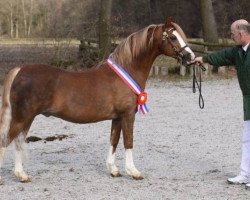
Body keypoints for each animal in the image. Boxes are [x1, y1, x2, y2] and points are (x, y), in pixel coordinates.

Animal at [0, 18, 194, 184]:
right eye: (172, 37)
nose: (190, 57)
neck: (127, 70)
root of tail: (20, 70)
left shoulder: (117, 117)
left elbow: (114, 140)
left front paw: (113, 170)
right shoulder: (128, 115)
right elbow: (128, 141)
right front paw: (133, 172)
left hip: (26, 118)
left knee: (18, 142)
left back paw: (22, 175)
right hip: (23, 117)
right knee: (6, 141)